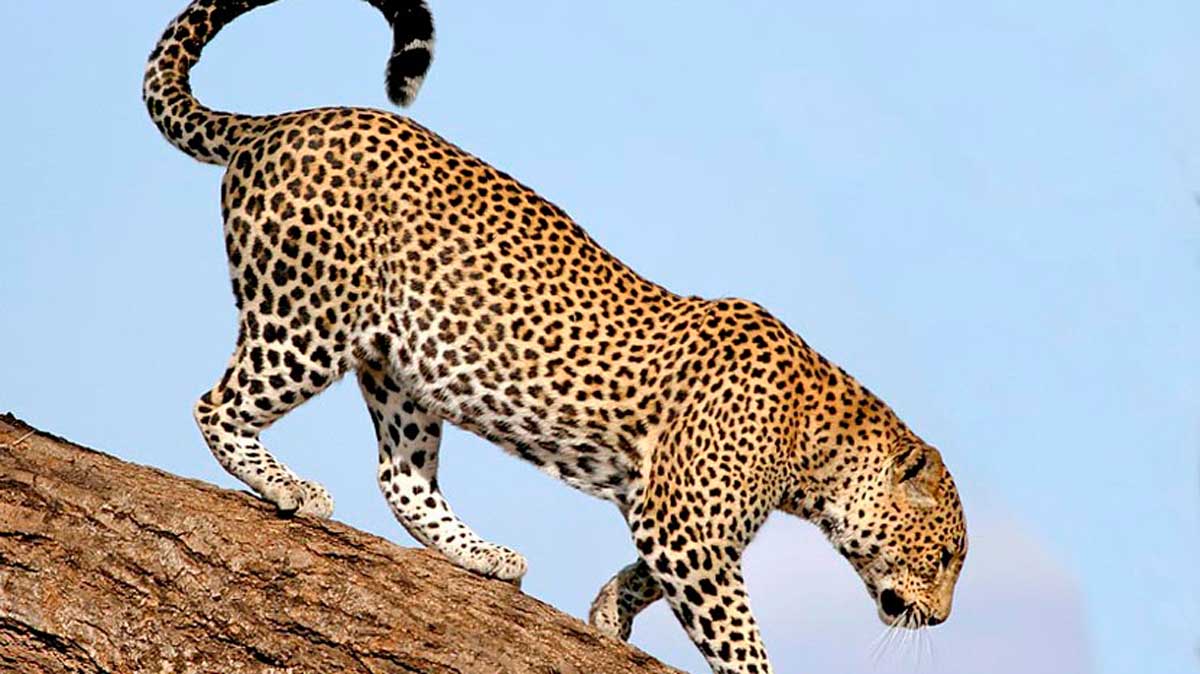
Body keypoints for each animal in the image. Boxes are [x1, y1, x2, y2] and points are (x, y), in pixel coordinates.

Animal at [142, 1, 968, 672]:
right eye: (945, 556)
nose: (942, 618)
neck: (819, 457)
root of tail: (273, 122)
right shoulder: (685, 526)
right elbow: (737, 633)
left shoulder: (675, 519)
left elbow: (647, 577)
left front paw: (606, 612)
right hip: (305, 319)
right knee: (217, 404)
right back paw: (290, 487)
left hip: (401, 369)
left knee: (402, 477)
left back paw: (483, 555)